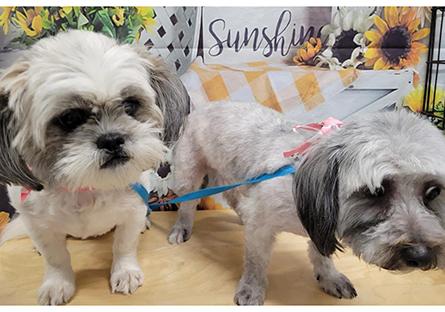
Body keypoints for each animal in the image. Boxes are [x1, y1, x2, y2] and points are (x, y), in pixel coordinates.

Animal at [0, 29, 188, 304]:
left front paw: (125, 272)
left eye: (130, 105)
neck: (86, 187)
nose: (111, 139)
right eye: (69, 118)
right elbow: (56, 258)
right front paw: (58, 283)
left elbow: (124, 245)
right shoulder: (36, 221)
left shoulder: (132, 210)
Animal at [168, 102, 444, 304]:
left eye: (433, 192)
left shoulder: (319, 226)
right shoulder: (262, 224)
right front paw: (252, 288)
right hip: (188, 172)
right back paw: (182, 228)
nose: (420, 255)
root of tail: (202, 108)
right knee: (187, 205)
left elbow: (321, 253)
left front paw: (329, 277)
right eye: (376, 191)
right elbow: (256, 261)